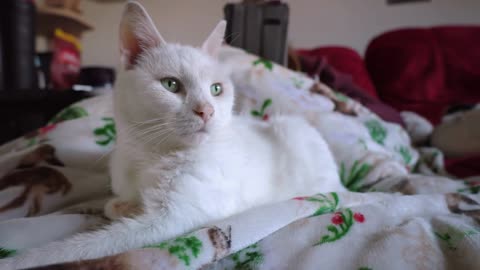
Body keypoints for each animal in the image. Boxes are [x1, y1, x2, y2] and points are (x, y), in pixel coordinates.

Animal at [0, 1, 344, 268]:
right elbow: (113, 204)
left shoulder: (174, 220)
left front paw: (18, 260)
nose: (206, 111)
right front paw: (124, 205)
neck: (150, 153)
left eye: (216, 89)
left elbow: (77, 248)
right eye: (171, 85)